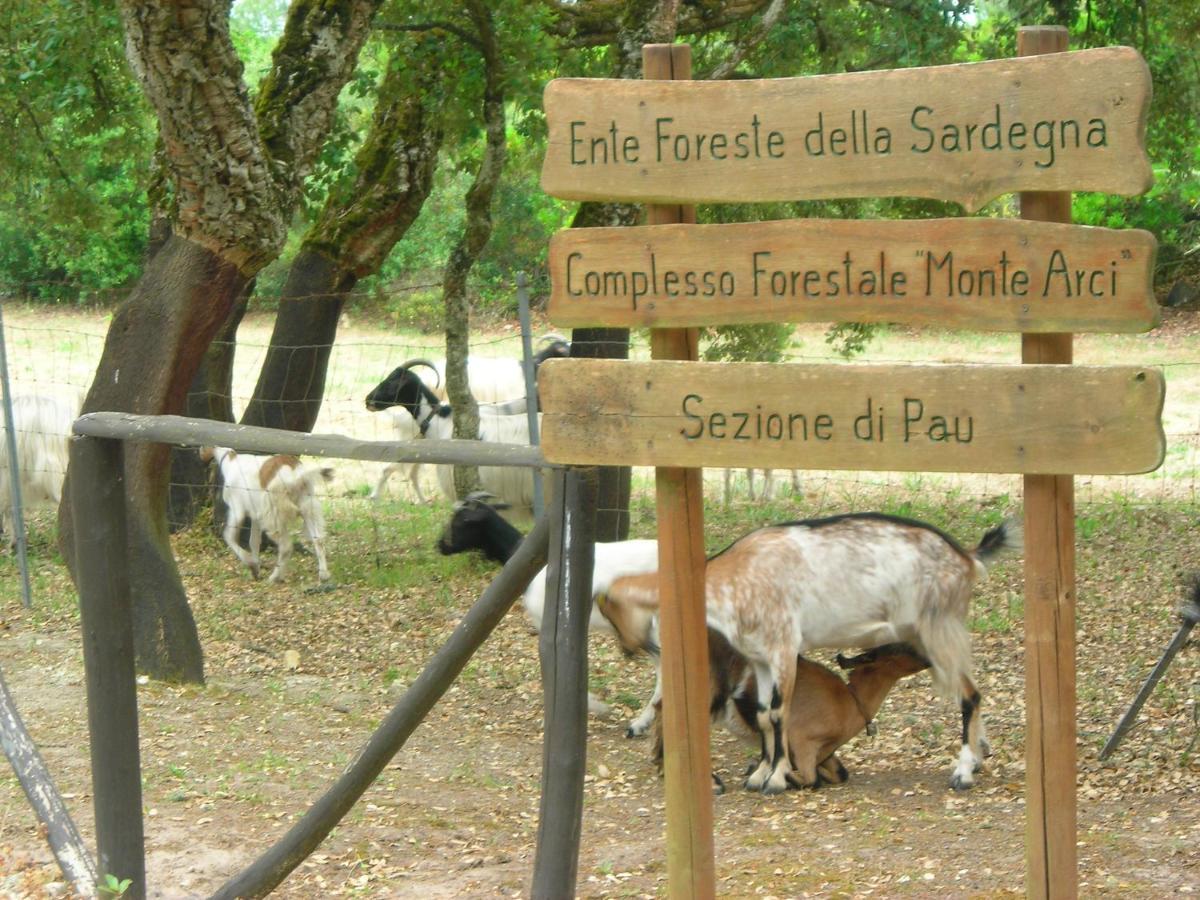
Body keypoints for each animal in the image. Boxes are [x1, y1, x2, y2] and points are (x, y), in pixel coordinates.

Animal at [200, 446, 333, 585]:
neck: (230, 461)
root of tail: (295, 475)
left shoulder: (237, 510)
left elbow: (229, 537)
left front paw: (250, 562)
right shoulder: (255, 517)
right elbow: (253, 541)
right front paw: (256, 568)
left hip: (273, 516)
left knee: (286, 547)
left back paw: (275, 577)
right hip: (308, 509)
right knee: (318, 540)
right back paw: (323, 574)